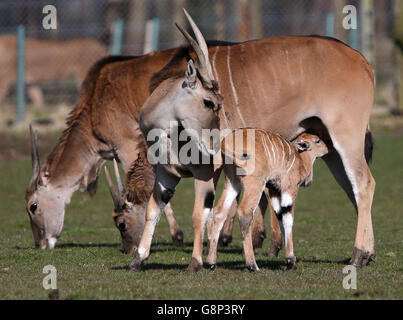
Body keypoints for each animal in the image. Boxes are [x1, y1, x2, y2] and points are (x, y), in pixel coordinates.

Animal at [208, 129, 328, 272]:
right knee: (244, 211)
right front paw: (291, 261)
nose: (327, 149)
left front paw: (289, 260)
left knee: (219, 212)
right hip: (255, 183)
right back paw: (252, 266)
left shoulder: (274, 190)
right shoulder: (289, 188)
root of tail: (225, 143)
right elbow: (288, 219)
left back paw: (211, 263)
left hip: (232, 182)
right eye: (317, 141)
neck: (299, 157)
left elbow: (280, 217)